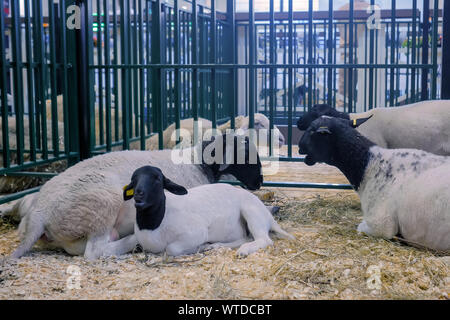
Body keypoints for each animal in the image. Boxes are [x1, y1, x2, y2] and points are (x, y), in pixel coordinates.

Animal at [109, 165, 294, 258]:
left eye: (157, 179)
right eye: (133, 180)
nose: (139, 195)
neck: (155, 223)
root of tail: (269, 217)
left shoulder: (195, 233)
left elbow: (172, 249)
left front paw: (197, 248)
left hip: (251, 212)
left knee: (264, 239)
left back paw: (243, 251)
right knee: (246, 237)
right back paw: (216, 246)